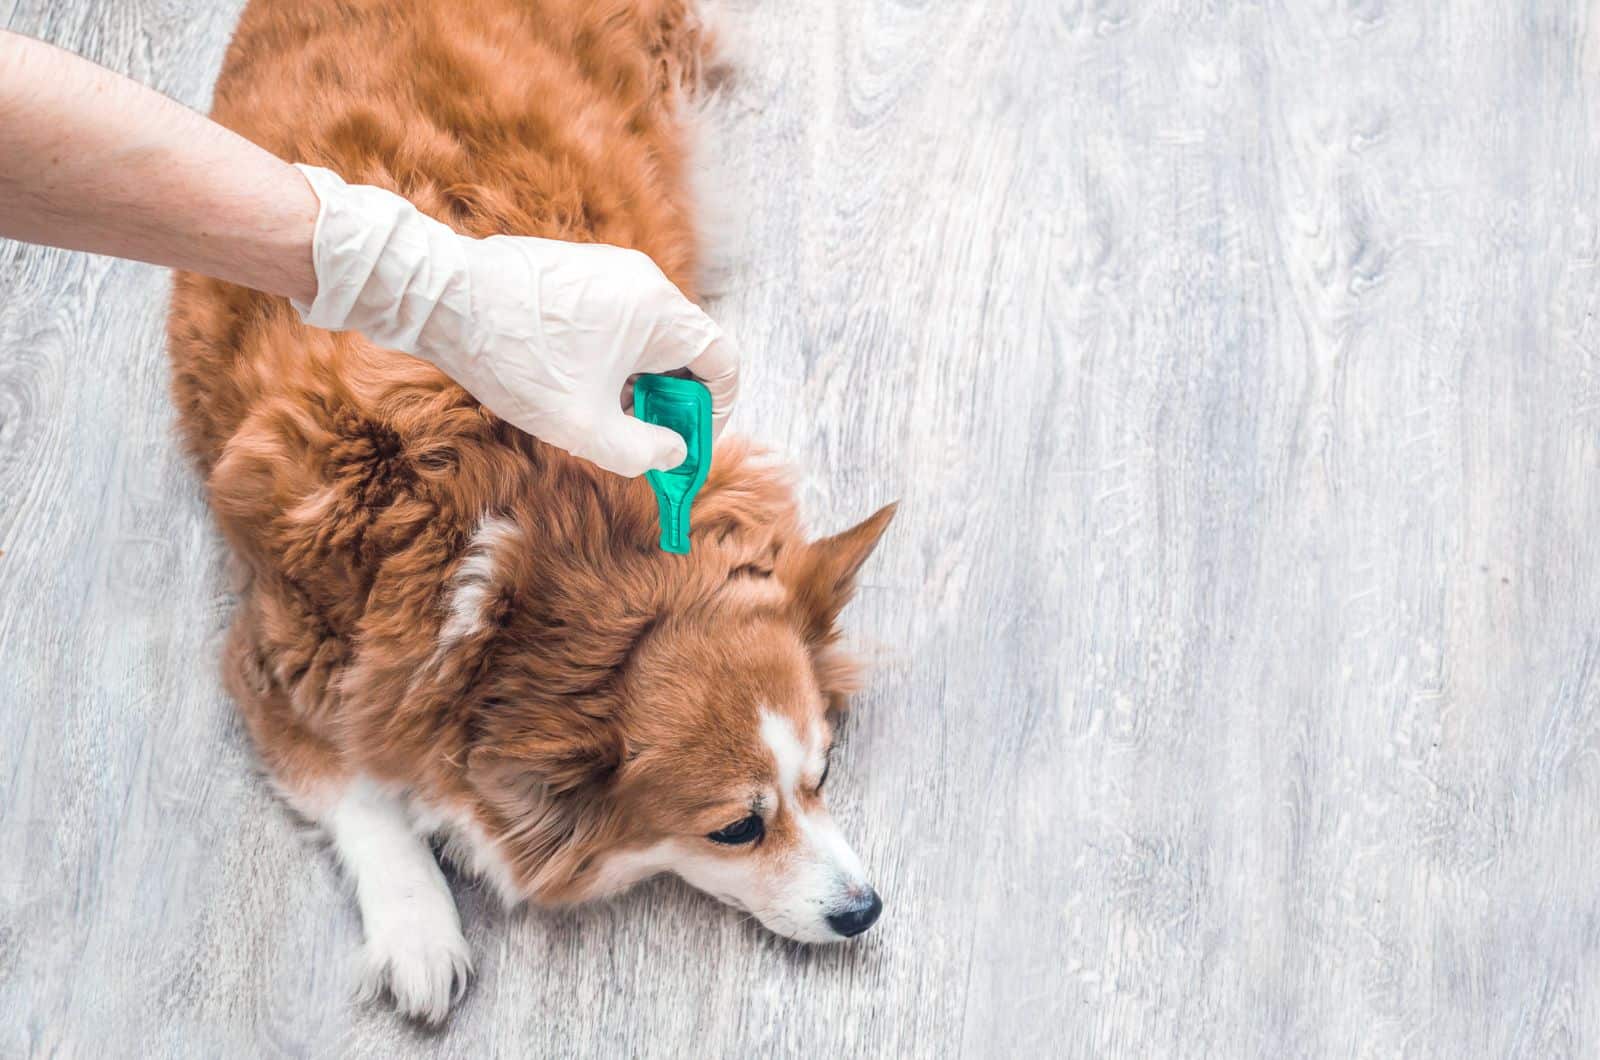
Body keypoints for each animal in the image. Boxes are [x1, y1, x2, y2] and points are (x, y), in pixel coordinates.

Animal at [172, 0, 902, 1031]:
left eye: (823, 777)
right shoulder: (274, 657)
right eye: (737, 829)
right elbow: (360, 791)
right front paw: (419, 933)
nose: (865, 909)